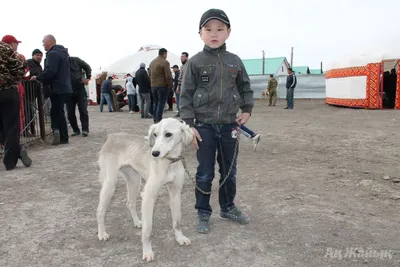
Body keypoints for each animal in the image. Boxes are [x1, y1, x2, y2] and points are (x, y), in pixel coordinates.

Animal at [95, 118, 192, 262]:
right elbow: (148, 230)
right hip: (110, 184)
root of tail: (112, 136)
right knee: (100, 211)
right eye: (155, 134)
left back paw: (137, 222)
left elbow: (177, 221)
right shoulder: (148, 197)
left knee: (129, 203)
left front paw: (180, 238)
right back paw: (102, 233)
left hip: (134, 181)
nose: (154, 154)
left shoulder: (175, 193)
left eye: (168, 134)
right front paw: (147, 252)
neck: (169, 163)